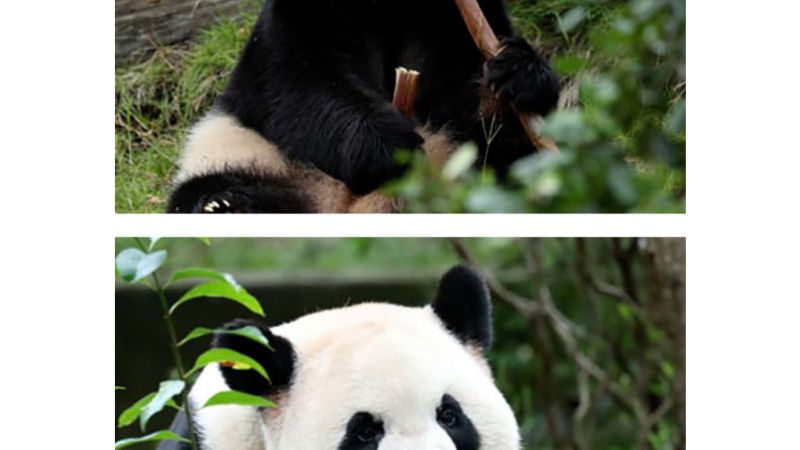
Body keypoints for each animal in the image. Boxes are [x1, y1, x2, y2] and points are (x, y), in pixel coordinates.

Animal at [166, 0, 560, 213]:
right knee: (205, 193)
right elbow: (299, 85)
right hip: (250, 158)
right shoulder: (296, 19)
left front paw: (517, 74)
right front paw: (389, 147)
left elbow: (463, 98)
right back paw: (223, 204)